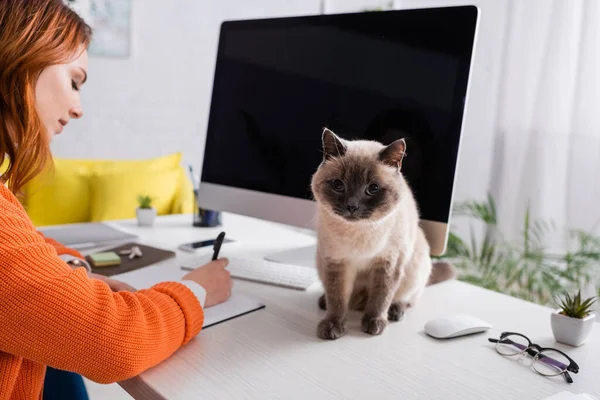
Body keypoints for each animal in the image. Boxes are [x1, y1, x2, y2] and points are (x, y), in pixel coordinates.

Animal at [310, 128, 454, 340]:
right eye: (338, 185)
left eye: (373, 189)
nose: (352, 206)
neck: (360, 232)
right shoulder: (337, 263)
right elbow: (337, 299)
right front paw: (333, 326)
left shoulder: (388, 264)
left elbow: (380, 298)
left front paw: (374, 324)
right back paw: (323, 302)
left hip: (415, 267)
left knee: (406, 297)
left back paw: (395, 312)